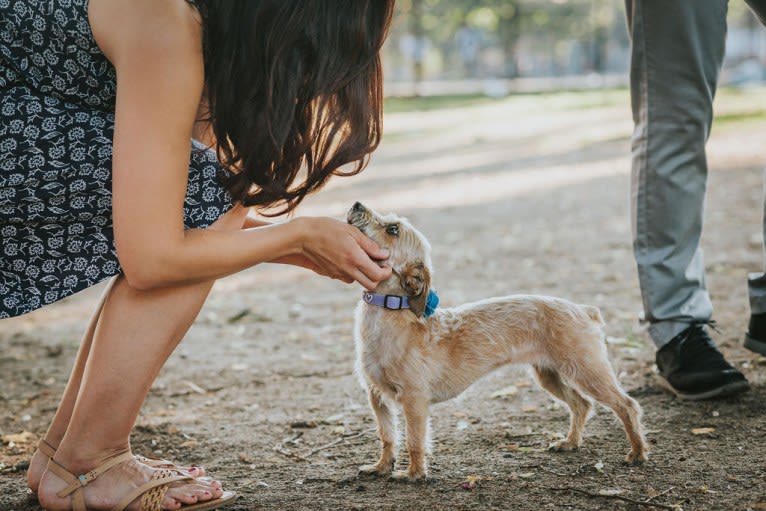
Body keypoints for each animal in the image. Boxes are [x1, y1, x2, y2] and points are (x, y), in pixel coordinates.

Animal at [346, 202, 648, 482]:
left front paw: (414, 474)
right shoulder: (377, 398)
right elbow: (387, 436)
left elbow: (414, 440)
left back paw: (637, 452)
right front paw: (381, 467)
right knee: (581, 404)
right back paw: (571, 443)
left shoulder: (414, 400)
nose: (357, 204)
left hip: (587, 371)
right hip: (549, 376)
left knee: (626, 405)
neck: (388, 314)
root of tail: (584, 310)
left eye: (392, 229)